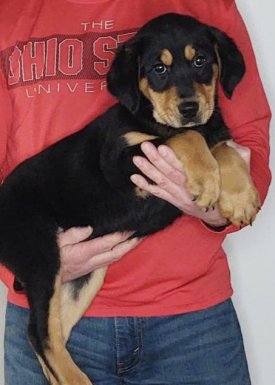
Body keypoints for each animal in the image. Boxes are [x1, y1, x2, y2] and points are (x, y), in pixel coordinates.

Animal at [0, 12, 260, 384]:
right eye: (158, 68)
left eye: (201, 60)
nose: (190, 108)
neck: (149, 115)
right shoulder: (122, 163)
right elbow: (185, 136)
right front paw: (206, 180)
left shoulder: (211, 134)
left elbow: (224, 148)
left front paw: (239, 197)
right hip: (42, 255)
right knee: (39, 332)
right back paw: (77, 379)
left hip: (84, 278)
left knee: (53, 332)